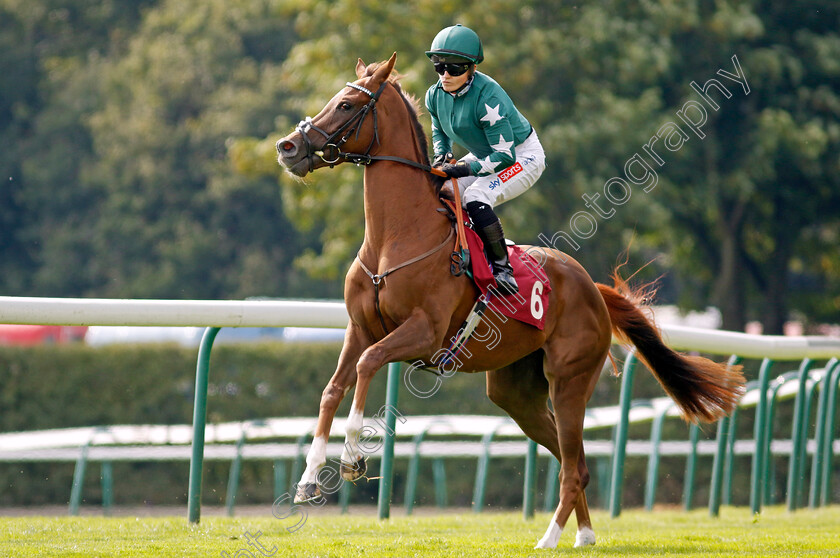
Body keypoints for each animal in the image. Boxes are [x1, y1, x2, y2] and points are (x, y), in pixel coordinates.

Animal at [274, 53, 740, 552]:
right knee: (575, 460)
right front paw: (308, 479)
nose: (287, 147)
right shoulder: (359, 328)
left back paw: (550, 537)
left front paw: (350, 458)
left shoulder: (424, 332)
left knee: (574, 465)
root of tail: (593, 289)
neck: (395, 238)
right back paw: (584, 535)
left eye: (345, 105)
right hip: (515, 393)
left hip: (569, 378)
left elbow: (367, 365)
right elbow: (332, 388)